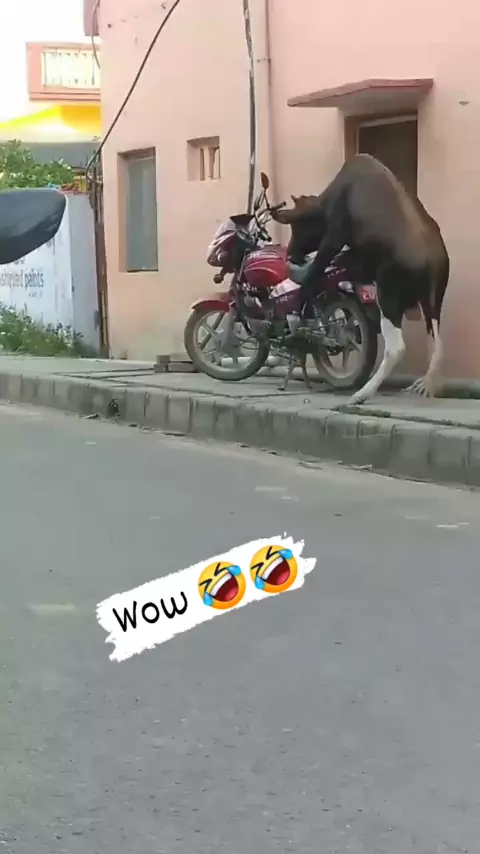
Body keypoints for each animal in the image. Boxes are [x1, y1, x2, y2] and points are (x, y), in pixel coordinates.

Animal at [272, 154, 450, 406]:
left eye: (298, 226)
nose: (290, 253)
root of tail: (433, 262)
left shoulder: (335, 234)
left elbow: (319, 267)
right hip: (432, 301)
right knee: (436, 344)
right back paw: (427, 386)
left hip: (389, 295)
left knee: (397, 347)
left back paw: (363, 393)